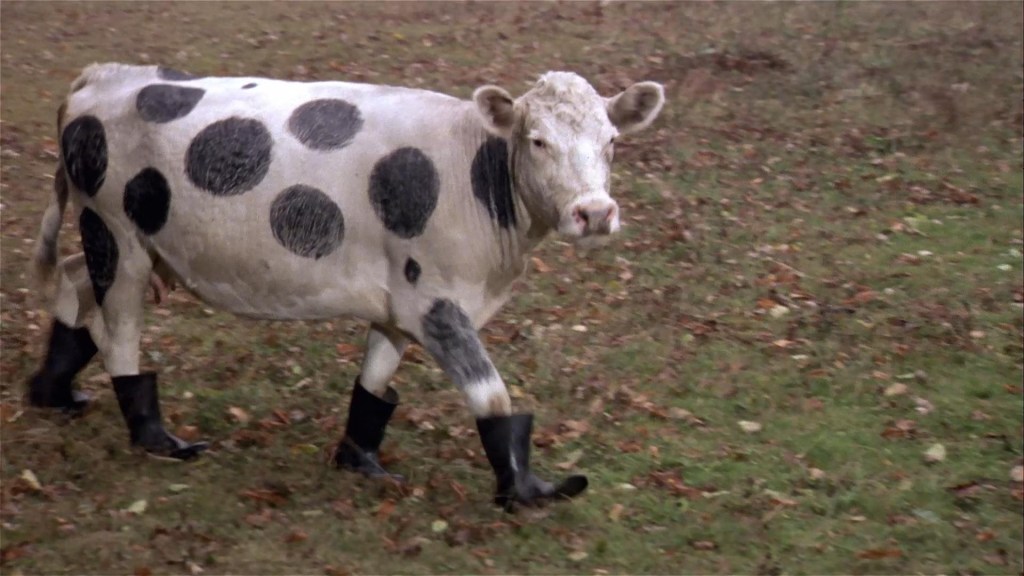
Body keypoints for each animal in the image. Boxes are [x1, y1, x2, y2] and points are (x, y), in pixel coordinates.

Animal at [27, 63, 665, 509]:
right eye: (536, 140)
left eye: (611, 140)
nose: (594, 212)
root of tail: (105, 75)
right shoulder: (435, 300)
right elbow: (493, 396)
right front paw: (529, 491)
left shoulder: (399, 300)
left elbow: (374, 384)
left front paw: (361, 463)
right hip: (117, 233)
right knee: (118, 333)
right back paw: (159, 439)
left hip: (126, 241)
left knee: (73, 286)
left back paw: (52, 392)